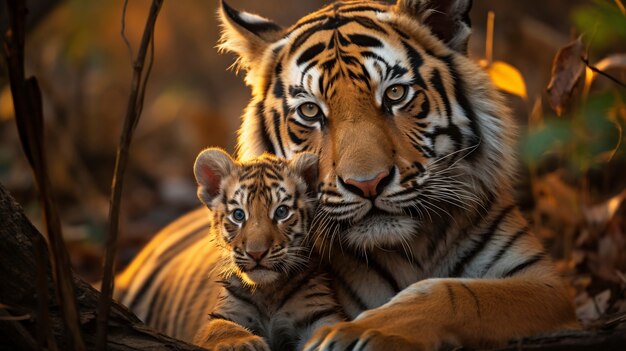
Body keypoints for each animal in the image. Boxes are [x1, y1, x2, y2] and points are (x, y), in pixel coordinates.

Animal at [113, 1, 576, 350]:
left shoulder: (547, 285)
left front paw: (362, 331)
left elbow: (456, 292)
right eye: (310, 111)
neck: (413, 248)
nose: (367, 184)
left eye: (395, 93)